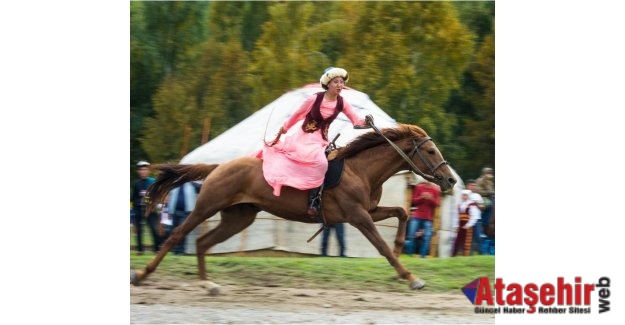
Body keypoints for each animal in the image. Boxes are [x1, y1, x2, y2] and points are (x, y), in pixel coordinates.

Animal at [130, 123, 454, 288]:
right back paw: (143, 274)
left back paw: (206, 283)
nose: (450, 179)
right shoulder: (357, 216)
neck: (360, 169)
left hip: (238, 217)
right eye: (430, 150)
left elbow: (400, 214)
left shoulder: (368, 211)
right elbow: (382, 246)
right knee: (176, 236)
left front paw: (401, 251)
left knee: (202, 242)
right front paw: (409, 276)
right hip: (206, 207)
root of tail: (218, 166)